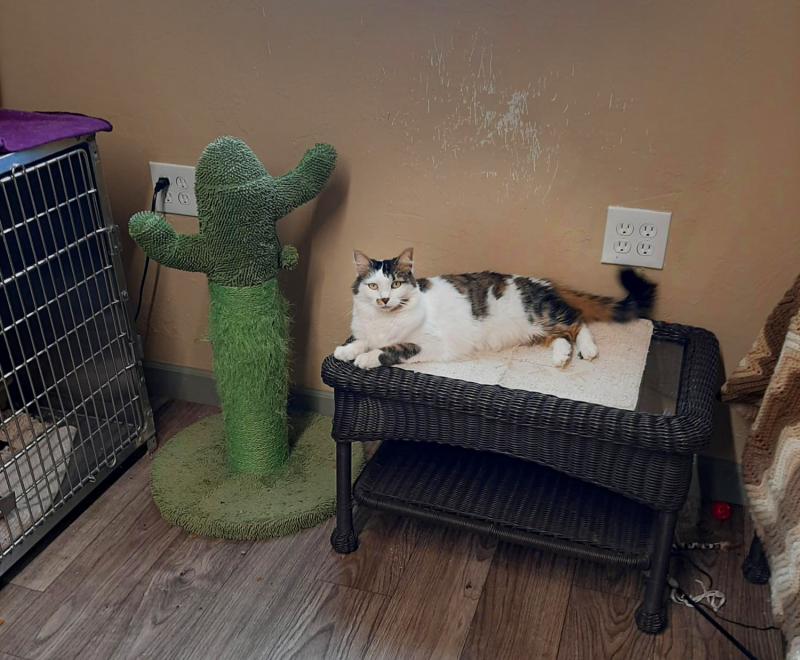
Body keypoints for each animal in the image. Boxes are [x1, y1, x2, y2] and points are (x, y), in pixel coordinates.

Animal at [334, 249, 652, 372]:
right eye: (373, 286)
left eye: (396, 284)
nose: (385, 299)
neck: (383, 321)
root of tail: (543, 281)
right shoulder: (367, 331)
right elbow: (361, 340)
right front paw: (346, 351)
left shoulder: (429, 344)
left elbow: (391, 349)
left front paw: (366, 358)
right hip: (539, 329)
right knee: (562, 336)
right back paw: (561, 357)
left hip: (542, 315)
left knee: (577, 321)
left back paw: (588, 350)